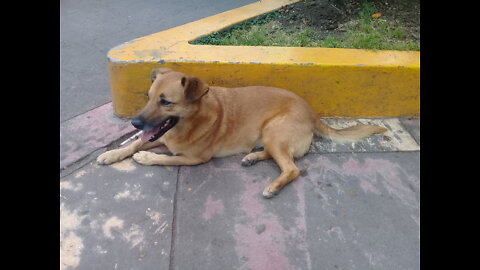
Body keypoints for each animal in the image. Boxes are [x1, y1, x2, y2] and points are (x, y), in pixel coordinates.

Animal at [97, 67, 386, 198]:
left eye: (165, 102)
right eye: (148, 97)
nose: (134, 123)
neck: (190, 121)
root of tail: (312, 112)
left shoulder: (194, 159)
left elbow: (164, 158)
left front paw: (146, 158)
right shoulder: (161, 138)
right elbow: (135, 144)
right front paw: (112, 154)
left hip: (273, 131)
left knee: (292, 168)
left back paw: (273, 186)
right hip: (270, 137)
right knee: (279, 157)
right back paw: (251, 157)